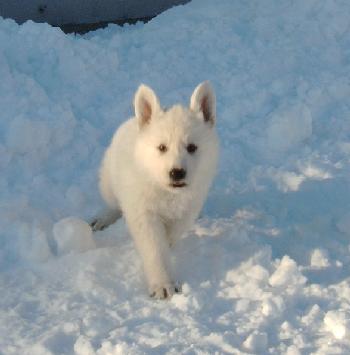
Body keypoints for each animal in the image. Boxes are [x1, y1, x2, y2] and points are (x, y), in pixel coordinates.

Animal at [91, 82, 217, 298]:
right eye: (162, 147)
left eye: (192, 147)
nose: (177, 173)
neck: (166, 191)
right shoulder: (143, 212)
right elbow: (155, 248)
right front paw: (163, 285)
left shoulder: (191, 203)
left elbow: (175, 230)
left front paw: (169, 243)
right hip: (108, 181)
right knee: (114, 203)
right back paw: (103, 219)